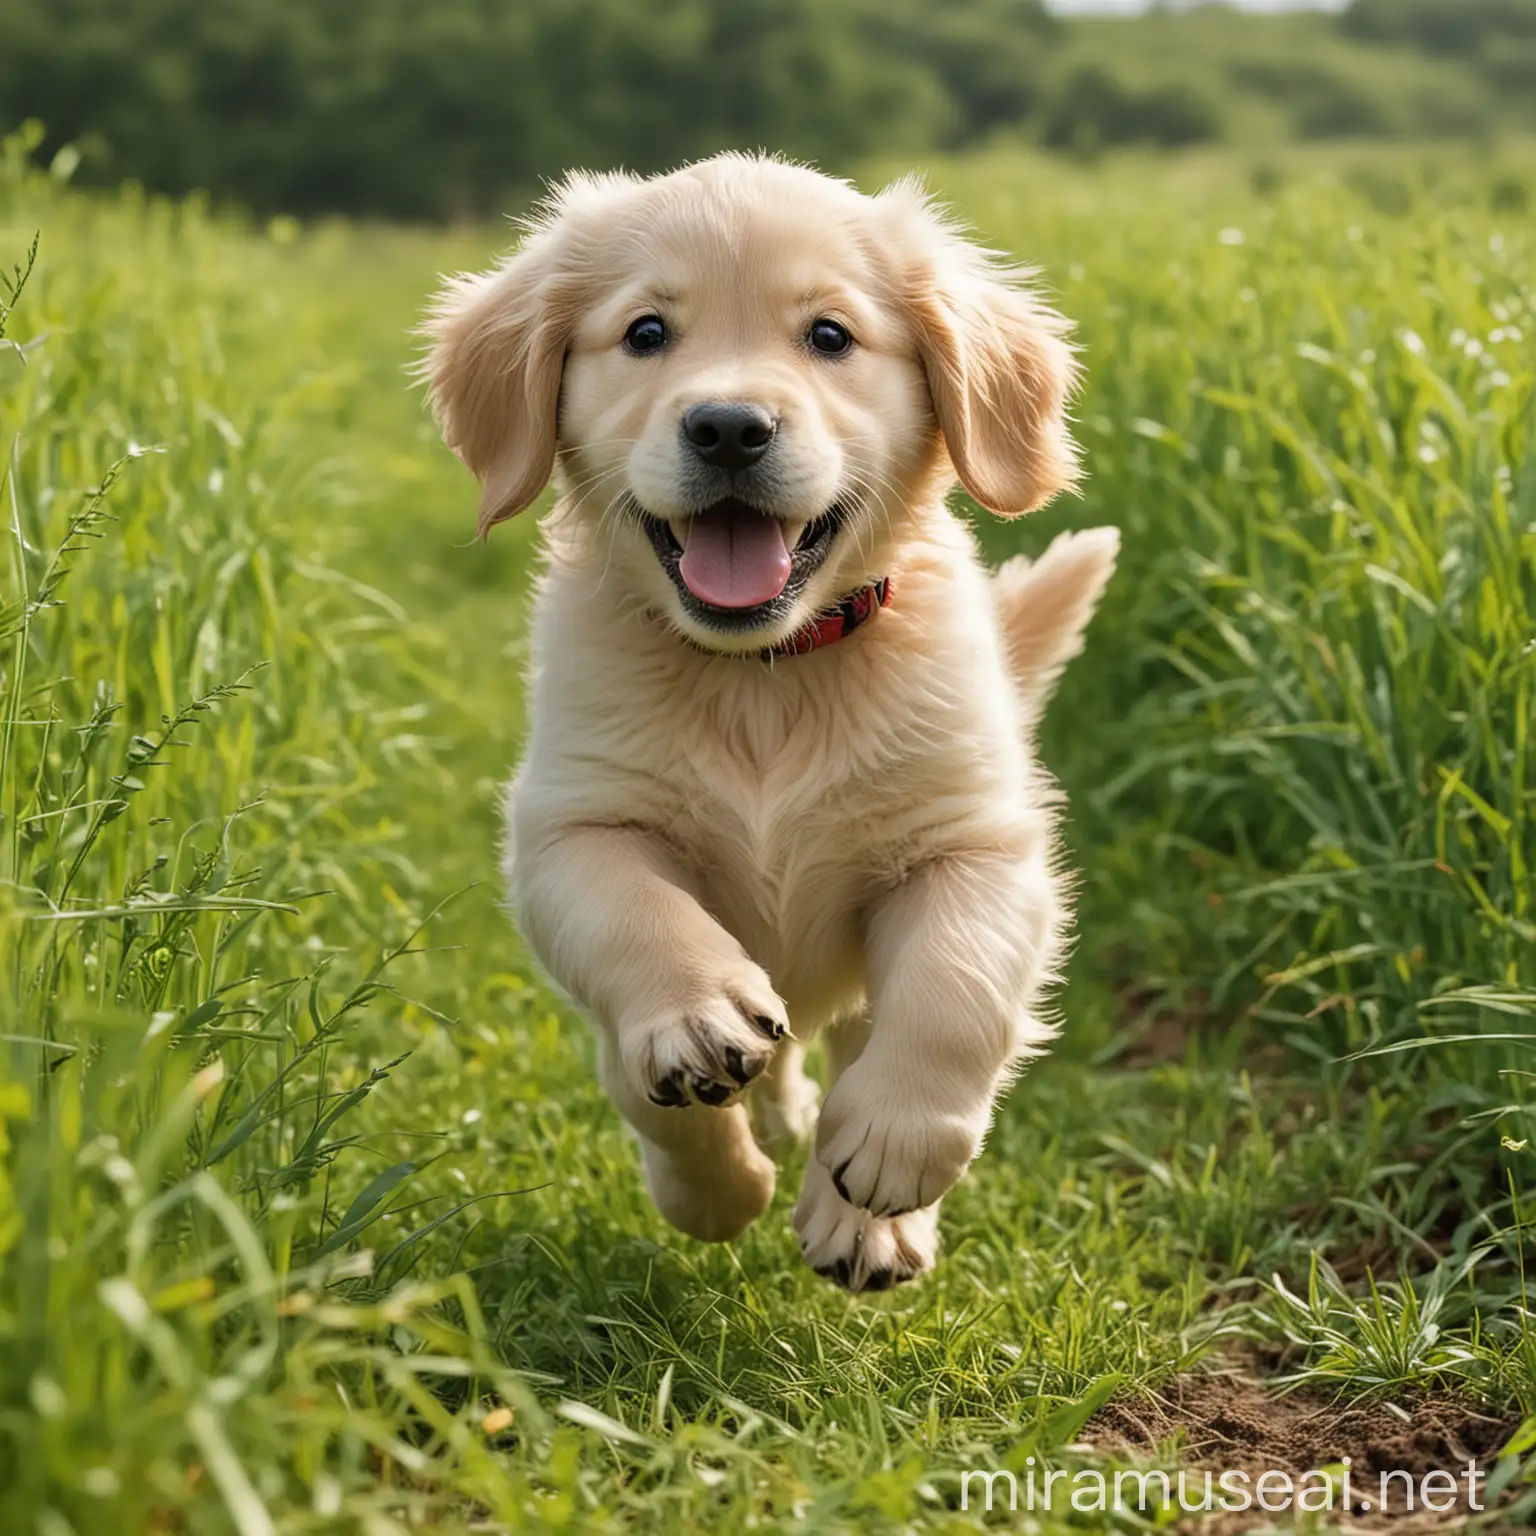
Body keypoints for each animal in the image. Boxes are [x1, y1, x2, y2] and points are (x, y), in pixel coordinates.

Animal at [423, 155, 1118, 1290]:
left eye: (829, 336)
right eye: (646, 333)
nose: (728, 427)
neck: (765, 676)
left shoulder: (975, 840)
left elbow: (955, 989)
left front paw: (892, 1150)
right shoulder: (573, 821)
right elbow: (638, 944)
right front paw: (713, 1161)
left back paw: (863, 1217)